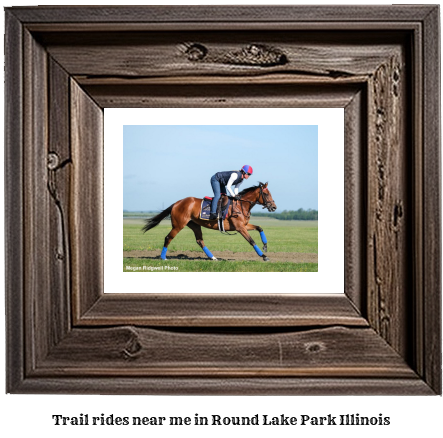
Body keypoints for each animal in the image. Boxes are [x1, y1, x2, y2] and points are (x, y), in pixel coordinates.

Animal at [143, 183, 278, 262]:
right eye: (266, 193)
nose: (274, 207)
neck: (241, 205)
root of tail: (177, 203)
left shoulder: (244, 225)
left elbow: (259, 228)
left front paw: (265, 246)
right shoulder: (240, 227)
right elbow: (251, 241)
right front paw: (264, 256)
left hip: (195, 225)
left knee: (200, 241)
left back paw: (213, 257)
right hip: (178, 225)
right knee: (168, 238)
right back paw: (163, 258)